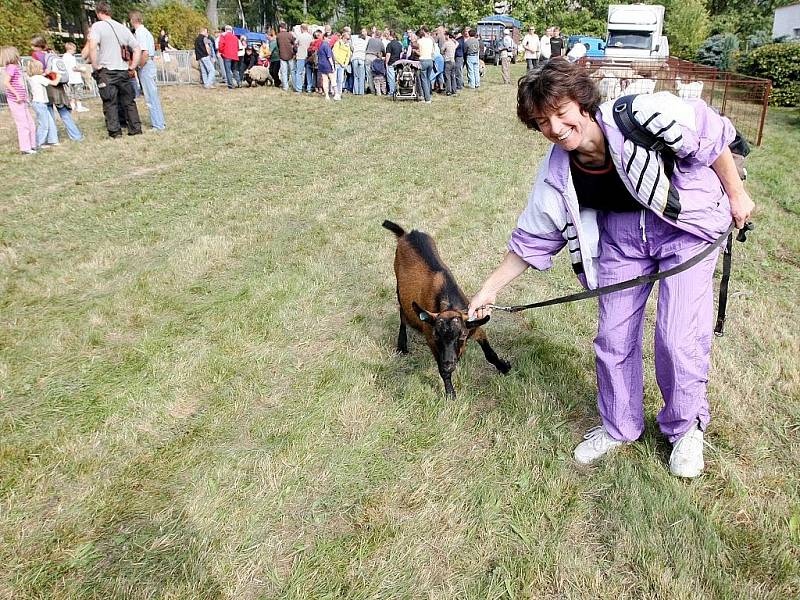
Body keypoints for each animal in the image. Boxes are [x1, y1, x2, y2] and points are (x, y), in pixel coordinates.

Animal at [382, 220, 510, 398]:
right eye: (437, 336)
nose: (449, 363)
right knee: (402, 313)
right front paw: (450, 393)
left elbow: (489, 353)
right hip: (399, 288)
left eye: (462, 336)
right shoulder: (431, 339)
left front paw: (504, 367)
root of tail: (405, 234)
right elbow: (442, 370)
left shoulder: (474, 326)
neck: (448, 302)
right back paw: (402, 346)